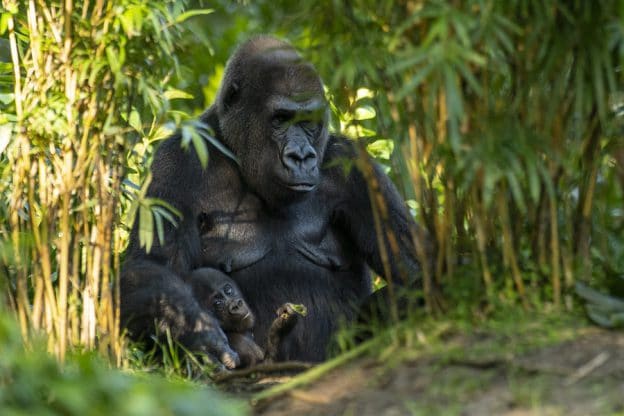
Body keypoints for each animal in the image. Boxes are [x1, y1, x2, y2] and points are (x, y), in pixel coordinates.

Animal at [122, 35, 434, 368]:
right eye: (281, 119)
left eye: (308, 121)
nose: (302, 156)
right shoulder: (175, 161)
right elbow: (149, 266)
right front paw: (195, 332)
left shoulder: (355, 168)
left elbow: (415, 264)